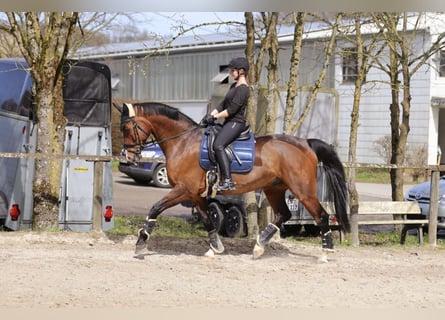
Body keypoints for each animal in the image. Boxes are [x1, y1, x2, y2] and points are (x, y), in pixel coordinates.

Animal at [117, 102, 350, 260]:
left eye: (127, 128)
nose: (128, 156)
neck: (182, 142)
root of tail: (305, 143)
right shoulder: (195, 194)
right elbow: (208, 220)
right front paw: (215, 248)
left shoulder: (183, 189)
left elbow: (155, 208)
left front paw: (141, 243)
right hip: (274, 188)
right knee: (284, 214)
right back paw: (259, 246)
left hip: (303, 190)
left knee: (321, 215)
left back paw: (325, 252)